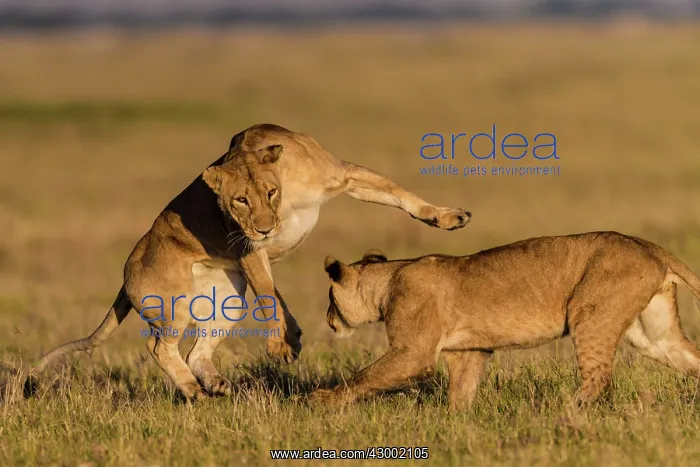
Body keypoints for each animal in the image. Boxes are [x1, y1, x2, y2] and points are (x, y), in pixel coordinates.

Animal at [24, 123, 471, 401]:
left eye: (269, 192)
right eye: (240, 200)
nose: (266, 227)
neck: (285, 193)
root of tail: (126, 270)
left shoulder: (341, 174)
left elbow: (398, 193)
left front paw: (446, 217)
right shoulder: (247, 248)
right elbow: (270, 295)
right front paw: (282, 342)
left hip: (227, 298)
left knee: (196, 351)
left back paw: (215, 384)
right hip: (173, 302)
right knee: (159, 346)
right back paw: (192, 389)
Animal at [310, 231, 700, 410]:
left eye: (329, 298)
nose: (327, 319)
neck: (389, 279)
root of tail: (648, 246)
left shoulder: (413, 351)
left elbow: (365, 376)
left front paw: (322, 400)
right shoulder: (469, 351)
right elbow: (461, 391)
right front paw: (456, 422)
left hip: (588, 313)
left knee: (599, 376)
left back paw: (563, 411)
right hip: (653, 335)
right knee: (687, 355)